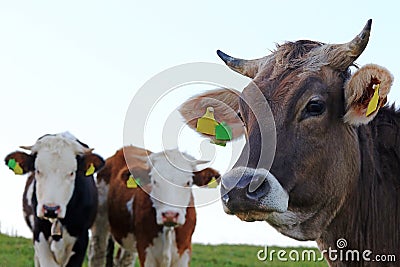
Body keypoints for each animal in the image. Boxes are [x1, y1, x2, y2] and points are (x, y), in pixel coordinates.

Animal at [88, 147, 219, 267]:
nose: (170, 215)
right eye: (154, 181)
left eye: (188, 183)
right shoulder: (145, 251)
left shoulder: (184, 252)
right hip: (100, 221)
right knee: (97, 255)